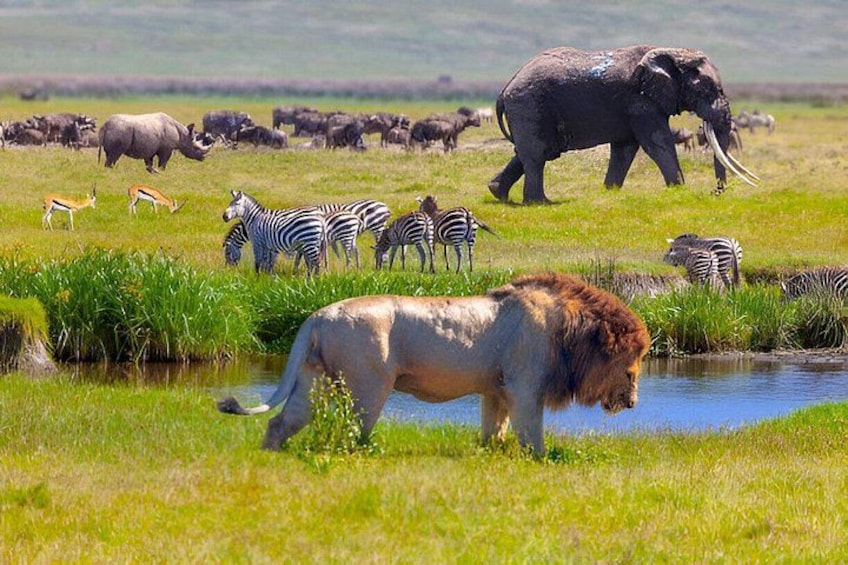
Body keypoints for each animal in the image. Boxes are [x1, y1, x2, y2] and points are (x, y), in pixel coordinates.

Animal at [217, 272, 651, 455]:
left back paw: (271, 455)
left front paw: (491, 454)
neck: (570, 330)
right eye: (631, 368)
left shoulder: (496, 390)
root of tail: (316, 316)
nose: (632, 403)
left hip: (315, 381)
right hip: (367, 386)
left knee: (280, 422)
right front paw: (540, 461)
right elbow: (532, 434)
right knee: (352, 433)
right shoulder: (526, 387)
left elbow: (494, 430)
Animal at [488, 45, 758, 204]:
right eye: (709, 89)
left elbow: (625, 149)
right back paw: (540, 203)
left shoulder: (634, 107)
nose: (716, 192)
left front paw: (610, 192)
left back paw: (498, 193)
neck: (670, 52)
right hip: (529, 104)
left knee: (531, 152)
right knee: (537, 155)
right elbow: (657, 143)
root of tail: (504, 89)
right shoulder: (640, 101)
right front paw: (678, 190)